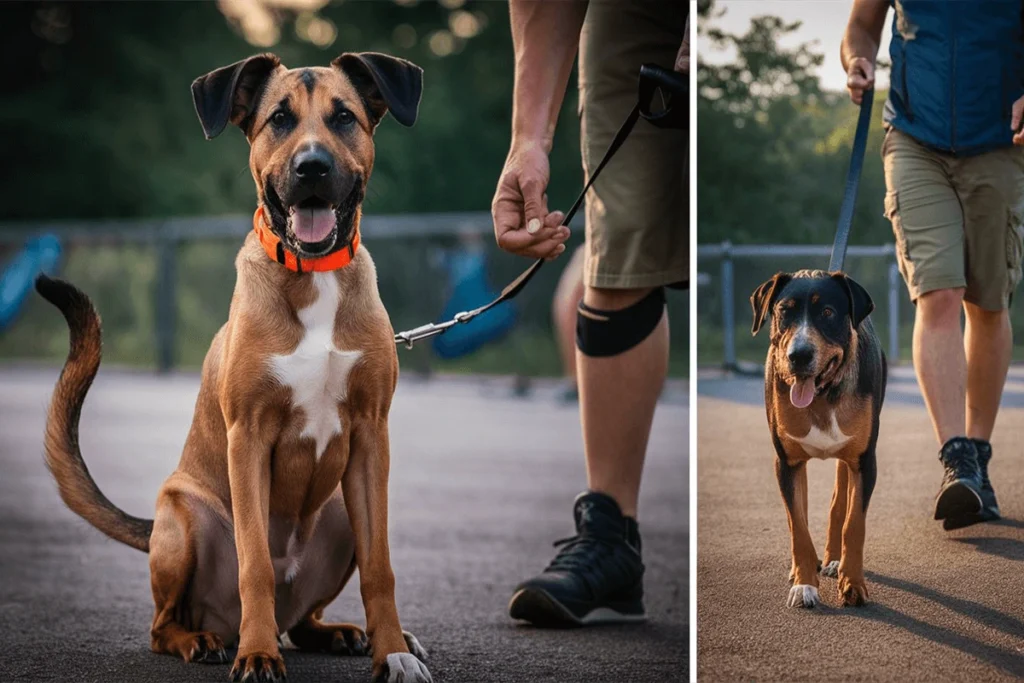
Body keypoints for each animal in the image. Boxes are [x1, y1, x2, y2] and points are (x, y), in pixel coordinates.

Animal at [35, 50, 432, 679]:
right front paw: (257, 654)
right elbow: (256, 566)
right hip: (185, 518)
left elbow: (381, 567)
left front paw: (391, 650)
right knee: (163, 625)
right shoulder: (248, 437)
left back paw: (340, 633)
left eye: (344, 117)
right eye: (279, 118)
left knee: (305, 620)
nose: (312, 168)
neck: (312, 276)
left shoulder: (371, 437)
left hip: (340, 511)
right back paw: (205, 640)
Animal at [749, 268, 884, 610]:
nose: (799, 355)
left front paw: (853, 584)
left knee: (839, 501)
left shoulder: (864, 461)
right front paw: (804, 584)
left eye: (827, 313)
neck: (823, 395)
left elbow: (854, 523)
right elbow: (797, 525)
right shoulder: (786, 462)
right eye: (784, 312)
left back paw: (835, 561)